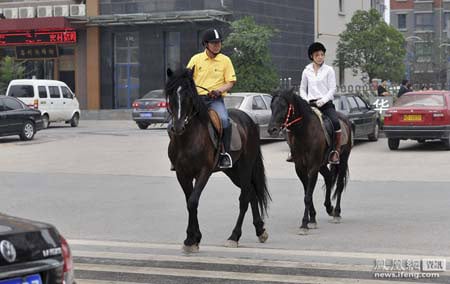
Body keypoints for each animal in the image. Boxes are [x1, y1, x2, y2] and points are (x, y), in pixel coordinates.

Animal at [165, 67, 270, 252]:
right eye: (171, 94)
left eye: (188, 94)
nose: (177, 127)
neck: (188, 138)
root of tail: (249, 120)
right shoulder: (182, 174)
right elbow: (189, 201)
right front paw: (193, 238)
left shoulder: (204, 171)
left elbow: (193, 201)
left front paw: (192, 239)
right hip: (233, 171)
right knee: (251, 193)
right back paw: (260, 230)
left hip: (245, 167)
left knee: (245, 197)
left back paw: (234, 236)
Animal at [268, 89, 352, 235]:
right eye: (271, 106)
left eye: (283, 107)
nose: (271, 129)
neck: (304, 132)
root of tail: (346, 119)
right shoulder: (300, 168)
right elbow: (308, 193)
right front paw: (312, 219)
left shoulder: (313, 168)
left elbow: (308, 196)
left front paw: (304, 224)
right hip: (322, 165)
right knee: (329, 178)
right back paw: (329, 208)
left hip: (342, 160)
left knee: (340, 185)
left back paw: (336, 213)